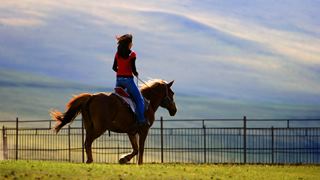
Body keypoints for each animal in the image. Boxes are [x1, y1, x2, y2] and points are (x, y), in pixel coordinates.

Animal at [49, 79, 178, 165]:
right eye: (172, 93)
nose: (174, 110)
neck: (148, 102)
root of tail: (91, 97)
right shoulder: (143, 130)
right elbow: (141, 148)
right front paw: (139, 163)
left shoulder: (131, 132)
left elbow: (135, 148)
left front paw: (123, 159)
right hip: (99, 129)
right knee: (88, 142)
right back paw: (90, 160)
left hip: (89, 127)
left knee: (86, 142)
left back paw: (89, 160)